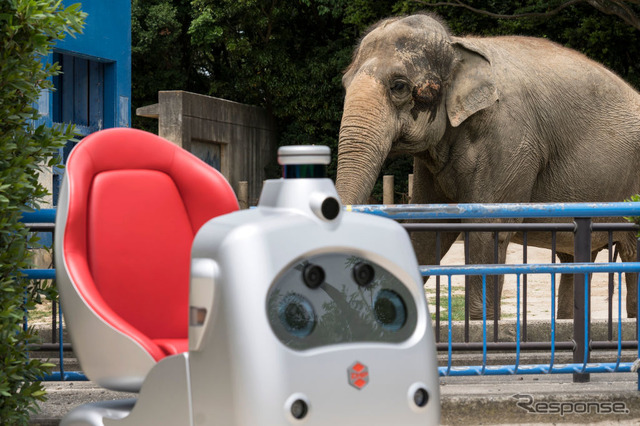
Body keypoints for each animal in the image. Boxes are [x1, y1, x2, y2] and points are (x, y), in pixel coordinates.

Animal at [336, 12, 640, 320]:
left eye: (398, 86)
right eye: (345, 84)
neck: (458, 46)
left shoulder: (509, 140)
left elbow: (487, 231)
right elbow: (426, 229)